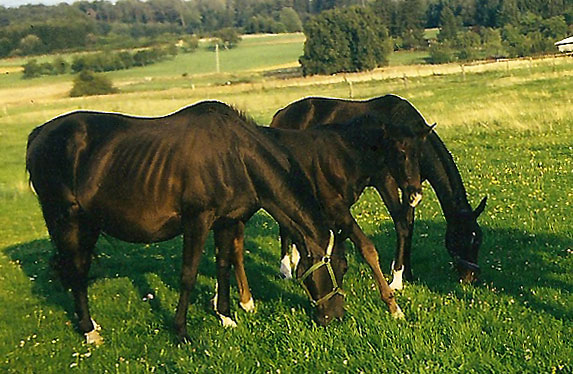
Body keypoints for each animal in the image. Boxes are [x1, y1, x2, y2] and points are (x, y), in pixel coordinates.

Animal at [25, 100, 344, 344]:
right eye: (333, 271)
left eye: (344, 269)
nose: (336, 316)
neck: (235, 155)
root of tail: (39, 134)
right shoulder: (197, 221)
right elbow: (188, 276)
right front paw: (181, 332)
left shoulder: (227, 222)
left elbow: (223, 266)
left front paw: (226, 317)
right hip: (66, 219)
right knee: (76, 272)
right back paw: (90, 332)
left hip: (88, 223)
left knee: (78, 269)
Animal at [270, 95, 484, 288]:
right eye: (460, 239)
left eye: (477, 240)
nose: (470, 277)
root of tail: (281, 113)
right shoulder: (386, 183)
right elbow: (401, 225)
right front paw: (397, 279)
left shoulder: (410, 188)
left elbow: (409, 224)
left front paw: (408, 273)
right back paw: (286, 270)